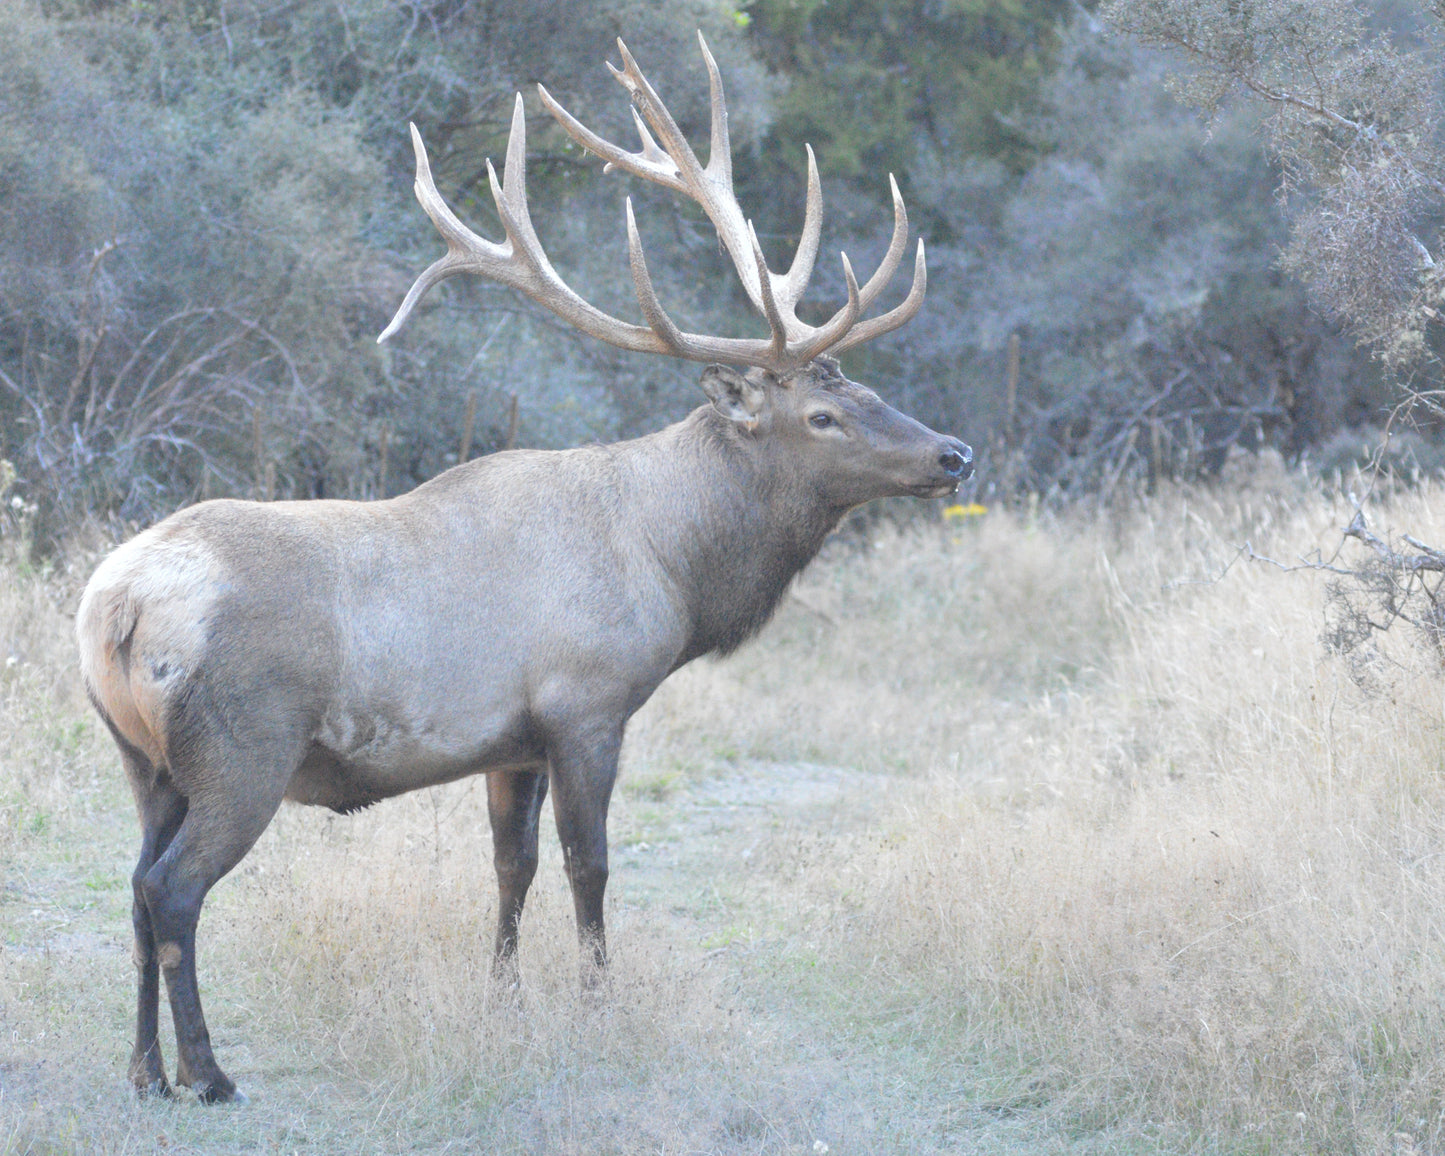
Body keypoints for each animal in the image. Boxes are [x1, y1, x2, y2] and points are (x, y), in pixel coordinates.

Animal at [76, 34, 972, 1104]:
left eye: (867, 387)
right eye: (823, 414)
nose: (954, 454)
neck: (670, 566)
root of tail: (114, 611)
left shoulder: (512, 741)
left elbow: (512, 868)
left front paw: (506, 1005)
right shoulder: (588, 704)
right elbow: (590, 865)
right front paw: (597, 1008)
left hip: (143, 757)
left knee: (134, 884)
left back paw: (142, 1072)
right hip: (241, 747)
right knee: (173, 890)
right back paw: (207, 1074)